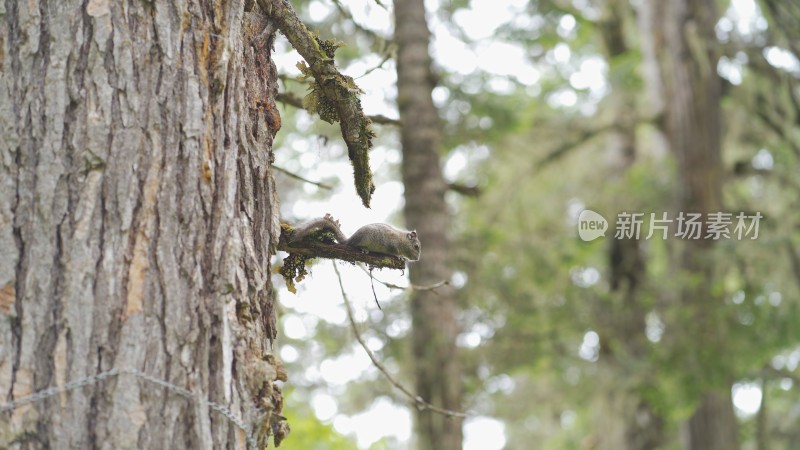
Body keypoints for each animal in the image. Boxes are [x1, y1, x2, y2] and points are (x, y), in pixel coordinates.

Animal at [290, 214, 422, 260]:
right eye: (416, 247)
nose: (416, 259)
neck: (401, 240)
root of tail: (350, 239)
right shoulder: (392, 244)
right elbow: (394, 252)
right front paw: (400, 256)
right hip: (362, 239)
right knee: (353, 245)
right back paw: (362, 249)